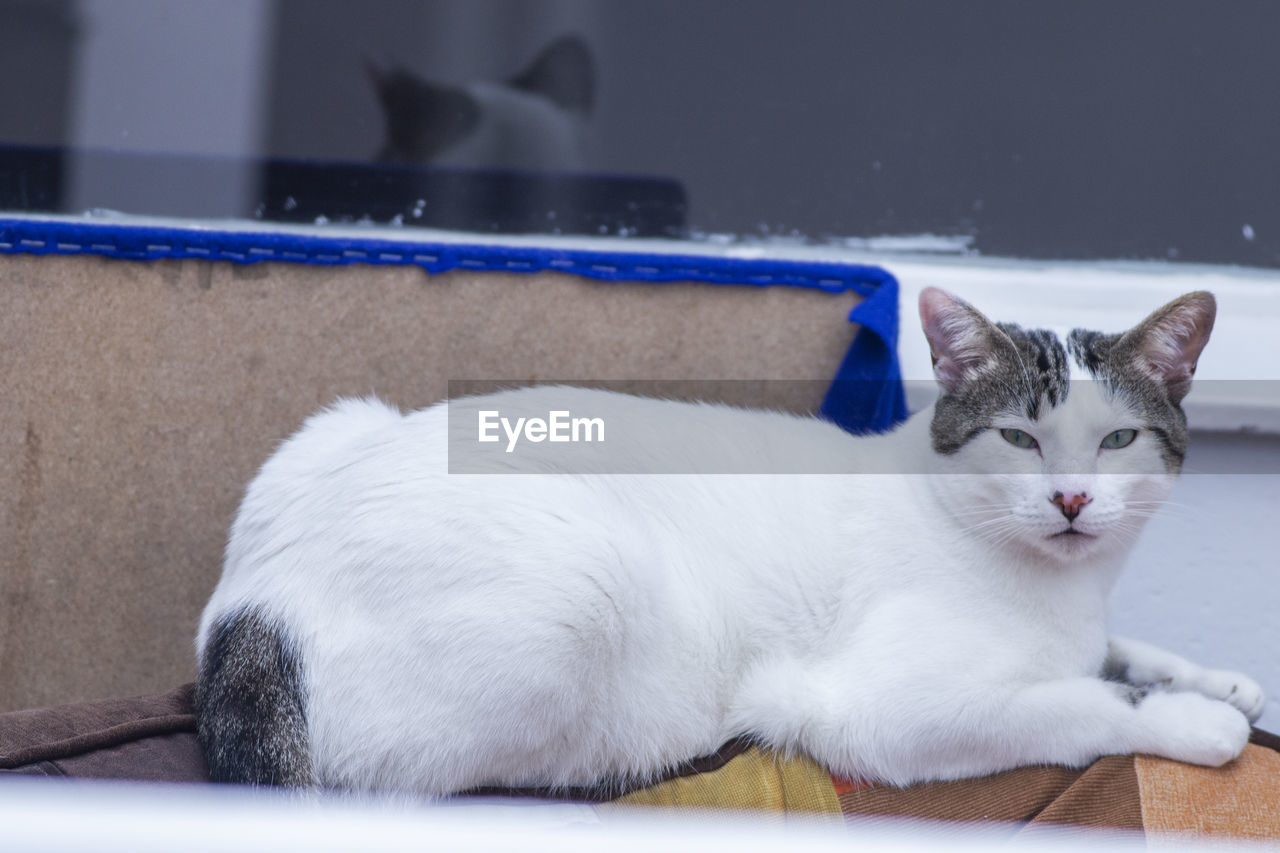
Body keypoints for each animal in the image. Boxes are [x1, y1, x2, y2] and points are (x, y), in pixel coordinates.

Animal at [194, 285, 1264, 788]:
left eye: (1118, 439)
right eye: (1020, 437)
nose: (1075, 499)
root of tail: (254, 607)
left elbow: (1118, 651)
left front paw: (1220, 680)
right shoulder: (883, 711)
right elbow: (1082, 703)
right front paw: (1196, 722)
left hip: (331, 423)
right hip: (586, 584)